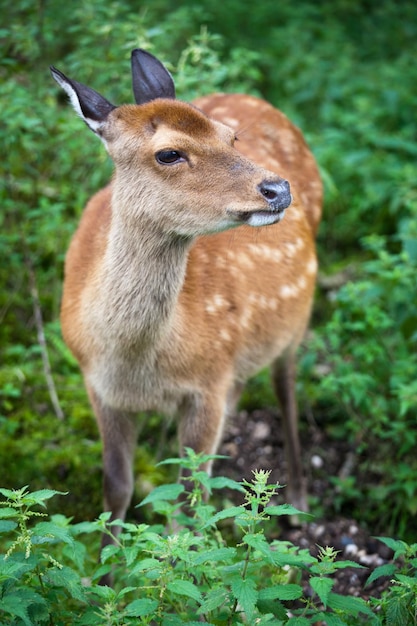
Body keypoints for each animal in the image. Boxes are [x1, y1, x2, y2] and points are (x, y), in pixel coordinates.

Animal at [51, 48, 322, 552]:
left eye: (230, 136)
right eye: (169, 153)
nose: (278, 189)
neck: (136, 363)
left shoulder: (208, 383)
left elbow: (189, 497)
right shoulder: (98, 386)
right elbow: (117, 485)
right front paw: (103, 567)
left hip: (296, 318)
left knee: (286, 387)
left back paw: (298, 498)